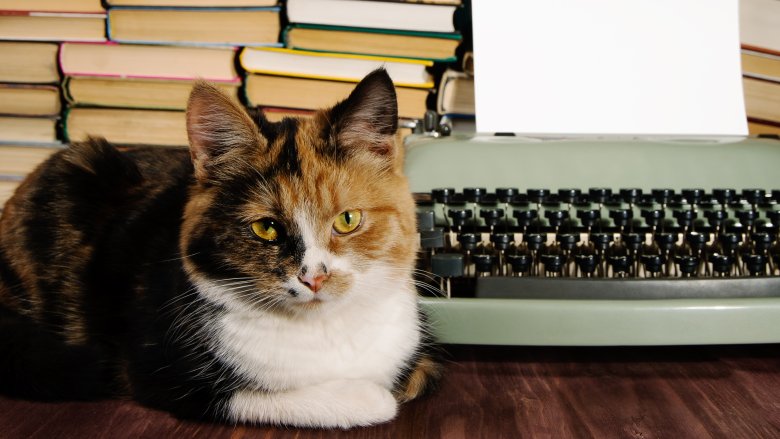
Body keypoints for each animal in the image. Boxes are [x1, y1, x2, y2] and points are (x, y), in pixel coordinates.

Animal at [0, 69, 438, 430]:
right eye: (266, 228)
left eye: (347, 219)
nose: (314, 278)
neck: (326, 329)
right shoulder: (157, 371)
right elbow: (276, 398)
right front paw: (365, 395)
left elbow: (416, 377)